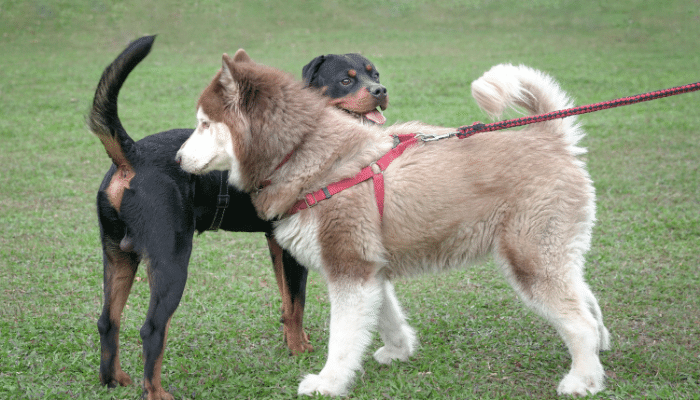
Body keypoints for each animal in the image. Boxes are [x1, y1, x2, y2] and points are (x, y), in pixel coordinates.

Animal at [88, 35, 388, 400]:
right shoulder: (291, 250)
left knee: (108, 320)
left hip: (118, 255)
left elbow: (287, 302)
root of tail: (132, 155)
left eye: (374, 74)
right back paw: (156, 393)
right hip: (170, 260)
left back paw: (113, 379)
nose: (380, 90)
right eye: (346, 80)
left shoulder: (277, 242)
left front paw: (293, 342)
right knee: (152, 328)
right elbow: (298, 301)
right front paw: (299, 350)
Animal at [176, 52, 612, 396]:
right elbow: (386, 316)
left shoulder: (349, 267)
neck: (308, 157)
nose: (177, 159)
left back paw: (583, 379)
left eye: (203, 123)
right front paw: (399, 350)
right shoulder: (369, 268)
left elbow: (342, 338)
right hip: (550, 256)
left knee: (579, 322)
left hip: (530, 261)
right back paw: (600, 349)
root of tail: (550, 137)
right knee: (587, 300)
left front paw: (328, 382)